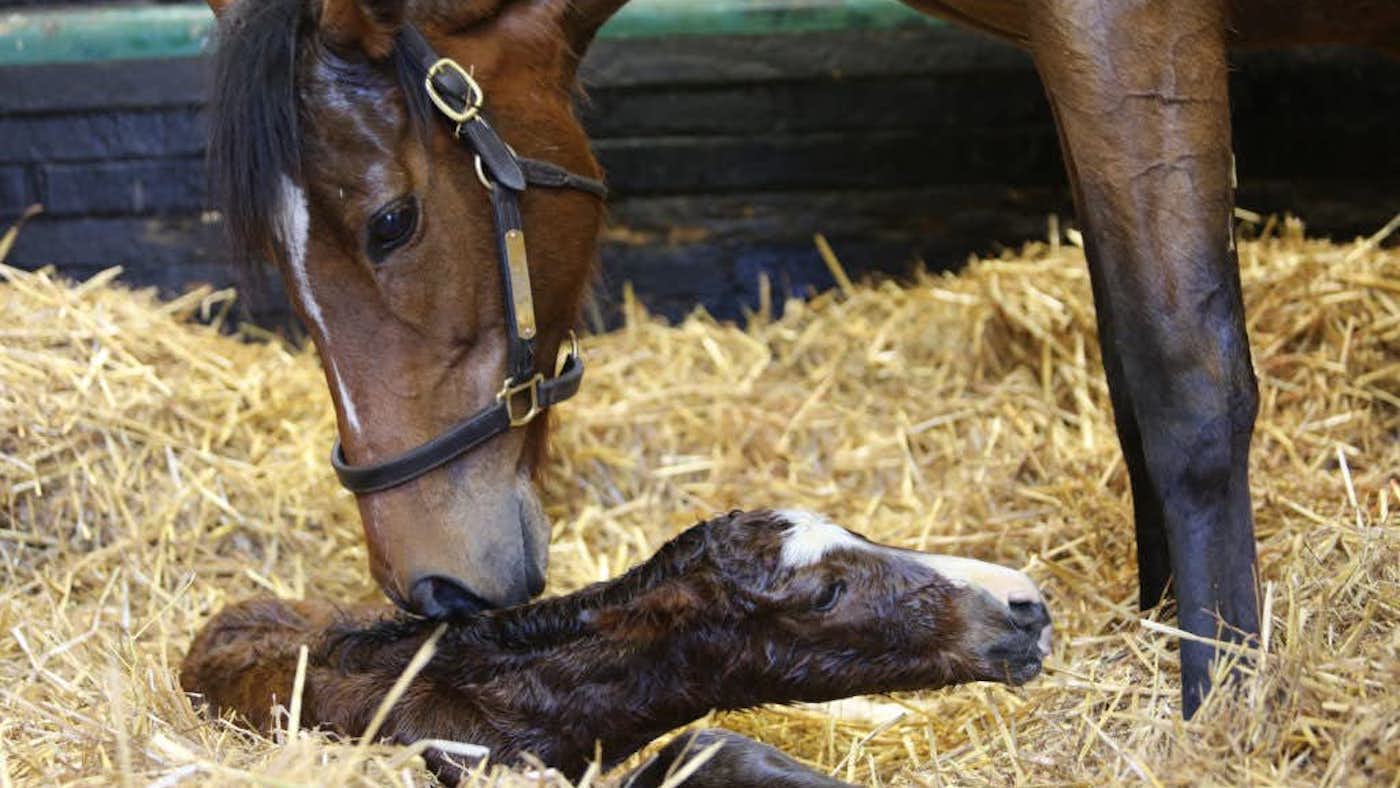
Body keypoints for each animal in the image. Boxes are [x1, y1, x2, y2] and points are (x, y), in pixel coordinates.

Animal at [201, 0, 1398, 719]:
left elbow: (1182, 373)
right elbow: (1121, 359)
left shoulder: (1130, 37)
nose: (430, 581)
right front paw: (1163, 620)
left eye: (391, 223)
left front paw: (1222, 696)